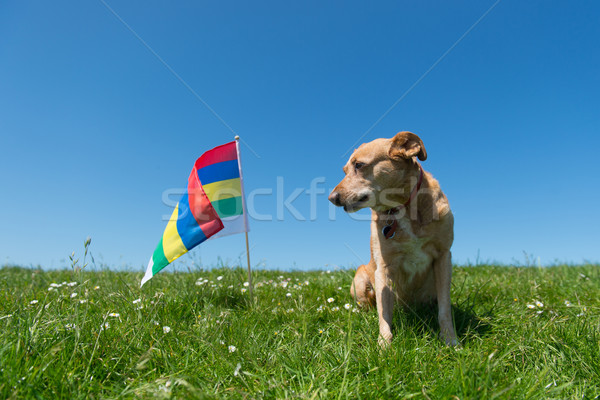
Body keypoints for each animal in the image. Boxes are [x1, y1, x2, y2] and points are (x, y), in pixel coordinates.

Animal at [330, 131, 458, 346]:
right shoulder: (385, 267)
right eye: (344, 170)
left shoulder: (443, 257)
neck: (401, 208)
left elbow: (445, 309)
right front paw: (384, 344)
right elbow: (384, 314)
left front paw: (450, 340)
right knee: (369, 307)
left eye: (359, 165)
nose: (332, 198)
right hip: (360, 279)